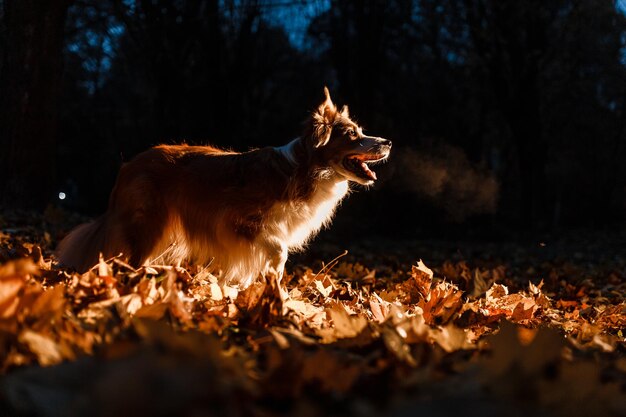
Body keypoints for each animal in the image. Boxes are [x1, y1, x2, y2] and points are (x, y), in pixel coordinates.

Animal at [58, 88, 390, 288]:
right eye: (352, 135)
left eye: (361, 132)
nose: (387, 142)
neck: (303, 169)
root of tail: (129, 165)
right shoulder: (235, 221)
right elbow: (278, 250)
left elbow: (277, 258)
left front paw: (270, 287)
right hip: (150, 224)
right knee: (133, 261)